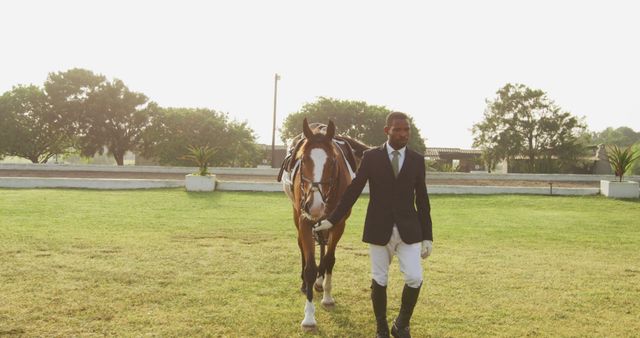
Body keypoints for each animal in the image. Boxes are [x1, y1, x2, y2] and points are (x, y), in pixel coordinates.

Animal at [282, 118, 370, 330]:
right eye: (303, 160)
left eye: (332, 161)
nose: (314, 205)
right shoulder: (305, 220)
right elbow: (310, 267)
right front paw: (309, 317)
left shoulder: (338, 222)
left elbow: (330, 259)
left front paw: (328, 296)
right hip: (297, 213)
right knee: (303, 246)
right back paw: (306, 283)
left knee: (323, 244)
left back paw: (321, 282)